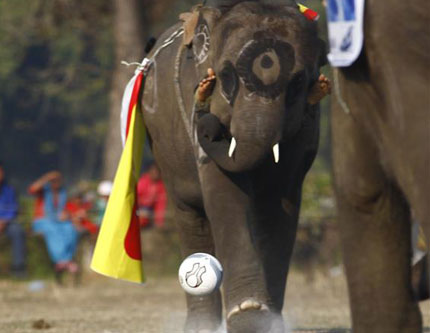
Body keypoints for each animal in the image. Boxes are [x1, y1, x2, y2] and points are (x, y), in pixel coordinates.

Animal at [140, 1, 326, 330]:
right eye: (226, 75)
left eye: (297, 83)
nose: (209, 124)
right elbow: (223, 190)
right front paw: (249, 319)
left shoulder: (307, 127)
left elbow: (279, 201)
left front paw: (267, 320)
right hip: (162, 146)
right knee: (189, 211)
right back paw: (201, 326)